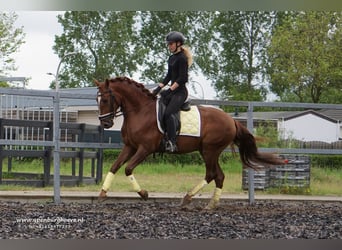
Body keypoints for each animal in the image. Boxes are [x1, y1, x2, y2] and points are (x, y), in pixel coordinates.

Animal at [95, 76, 284, 209]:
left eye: (104, 100)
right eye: (97, 101)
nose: (106, 124)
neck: (140, 111)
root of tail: (231, 120)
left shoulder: (145, 148)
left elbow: (127, 168)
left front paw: (144, 194)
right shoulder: (130, 147)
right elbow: (114, 166)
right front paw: (102, 193)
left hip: (210, 151)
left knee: (211, 174)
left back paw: (188, 198)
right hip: (208, 151)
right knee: (219, 176)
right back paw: (210, 204)